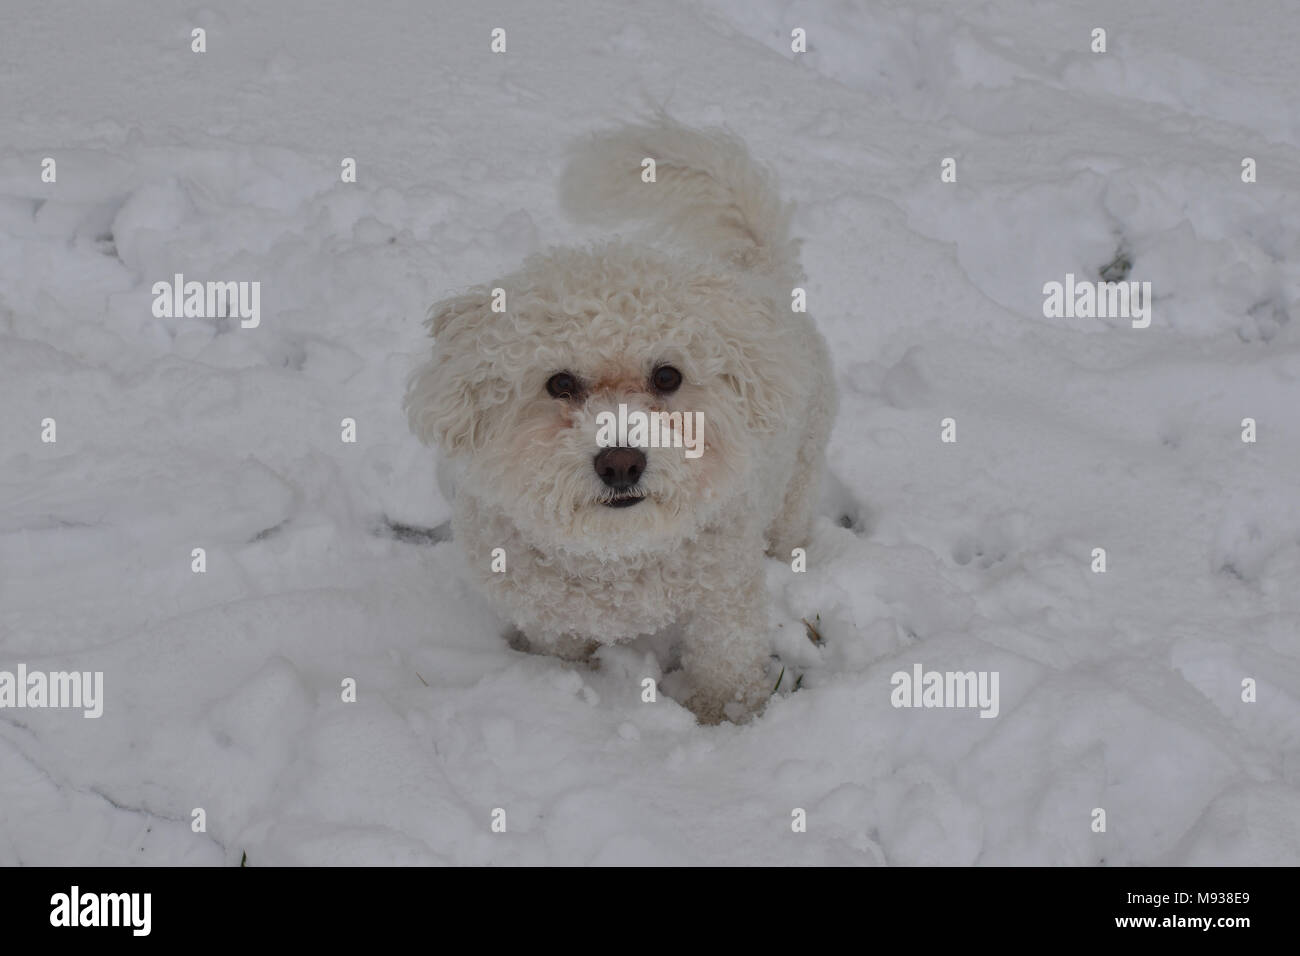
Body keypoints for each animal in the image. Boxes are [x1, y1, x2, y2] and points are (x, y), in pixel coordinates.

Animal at [400, 115, 837, 723]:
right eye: (559, 383)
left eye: (668, 376)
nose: (622, 463)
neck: (617, 554)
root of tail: (759, 276)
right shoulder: (548, 614)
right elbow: (563, 650)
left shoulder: (724, 595)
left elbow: (725, 661)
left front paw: (724, 717)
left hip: (796, 480)